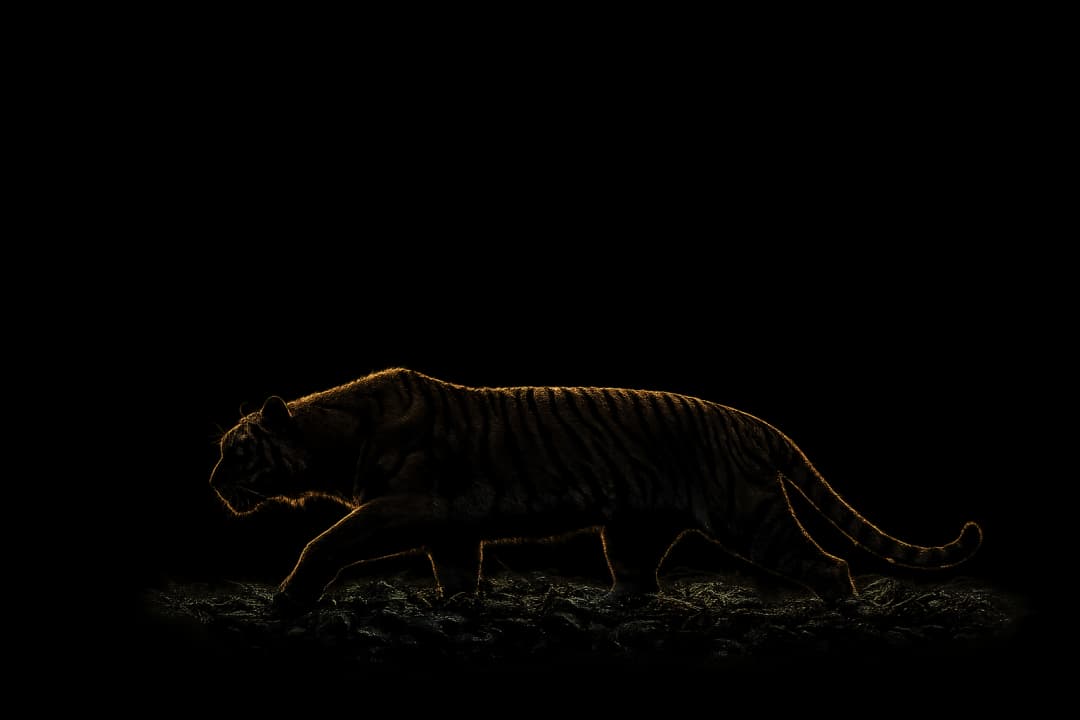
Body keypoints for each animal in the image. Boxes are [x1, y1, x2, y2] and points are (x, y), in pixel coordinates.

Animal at [209, 367, 982, 611]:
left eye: (236, 452)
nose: (211, 484)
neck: (328, 440)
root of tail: (758, 424)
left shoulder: (404, 506)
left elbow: (326, 540)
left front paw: (288, 599)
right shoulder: (452, 526)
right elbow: (456, 571)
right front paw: (460, 608)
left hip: (751, 517)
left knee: (829, 563)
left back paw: (843, 612)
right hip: (632, 529)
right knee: (638, 579)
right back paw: (606, 606)